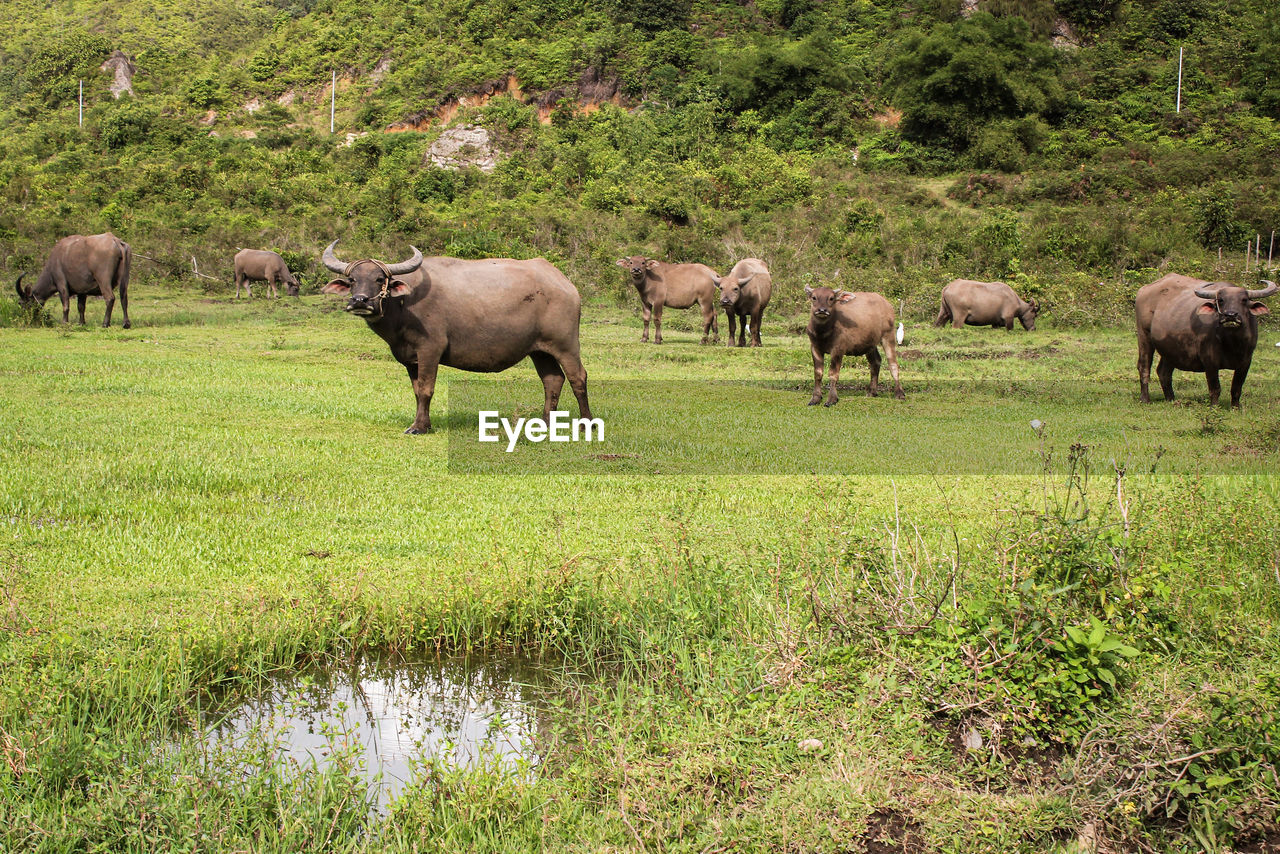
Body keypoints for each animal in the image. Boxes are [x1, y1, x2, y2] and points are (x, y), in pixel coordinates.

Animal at [320, 243, 588, 437]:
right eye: (353, 280)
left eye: (379, 279)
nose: (360, 301)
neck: (405, 304)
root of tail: (566, 284)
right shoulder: (410, 358)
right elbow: (416, 391)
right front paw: (423, 423)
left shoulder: (430, 350)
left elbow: (426, 389)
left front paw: (418, 428)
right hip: (539, 350)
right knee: (552, 380)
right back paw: (546, 423)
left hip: (566, 345)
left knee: (578, 377)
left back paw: (586, 424)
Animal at [1136, 273, 1274, 407]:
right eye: (1221, 300)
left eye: (1244, 300)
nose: (1230, 315)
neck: (1231, 342)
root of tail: (1143, 290)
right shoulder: (1210, 360)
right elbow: (1215, 388)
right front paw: (1214, 407)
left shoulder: (1246, 361)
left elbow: (1236, 388)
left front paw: (1235, 407)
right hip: (1144, 336)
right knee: (1144, 367)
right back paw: (1145, 399)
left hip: (1170, 348)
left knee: (1163, 372)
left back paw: (1171, 399)